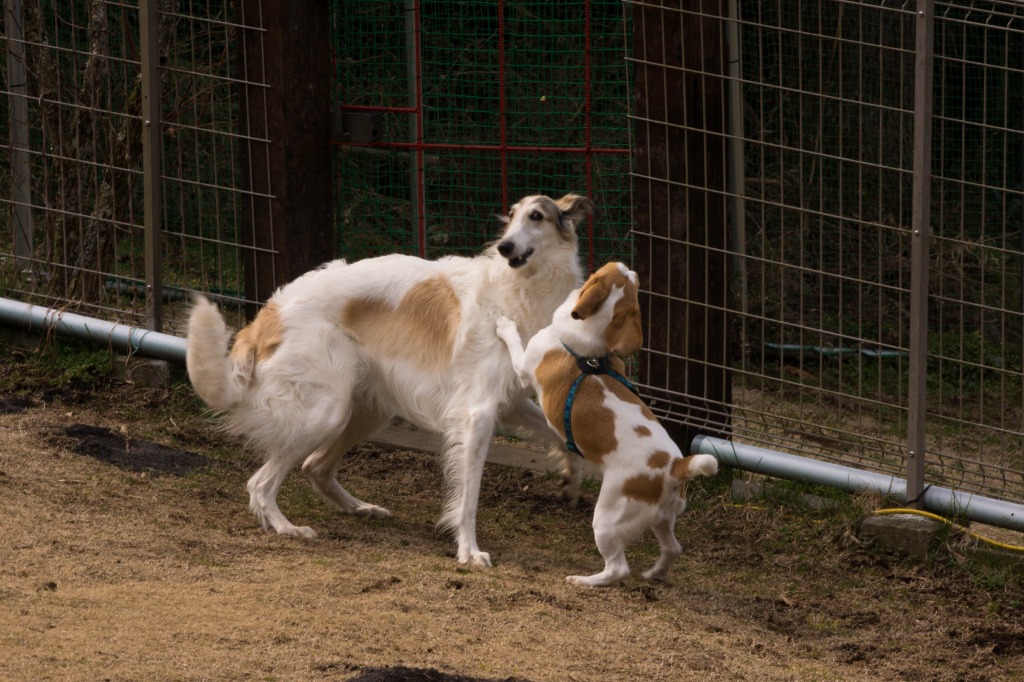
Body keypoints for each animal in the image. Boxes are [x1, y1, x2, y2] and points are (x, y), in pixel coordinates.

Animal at [188, 191, 598, 561]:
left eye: (536, 216)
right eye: (511, 216)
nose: (504, 246)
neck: (518, 290)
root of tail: (266, 315)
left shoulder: (512, 402)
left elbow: (566, 439)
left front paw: (571, 482)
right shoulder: (477, 413)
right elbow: (467, 498)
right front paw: (468, 550)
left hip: (368, 411)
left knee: (315, 467)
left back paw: (360, 508)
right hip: (327, 412)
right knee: (260, 484)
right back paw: (286, 527)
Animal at [493, 261, 716, 585]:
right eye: (624, 275)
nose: (630, 266)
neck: (586, 345)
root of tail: (676, 467)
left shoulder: (524, 365)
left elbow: (514, 343)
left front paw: (504, 326)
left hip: (607, 521)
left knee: (618, 568)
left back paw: (584, 581)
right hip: (662, 519)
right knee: (673, 548)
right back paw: (655, 574)